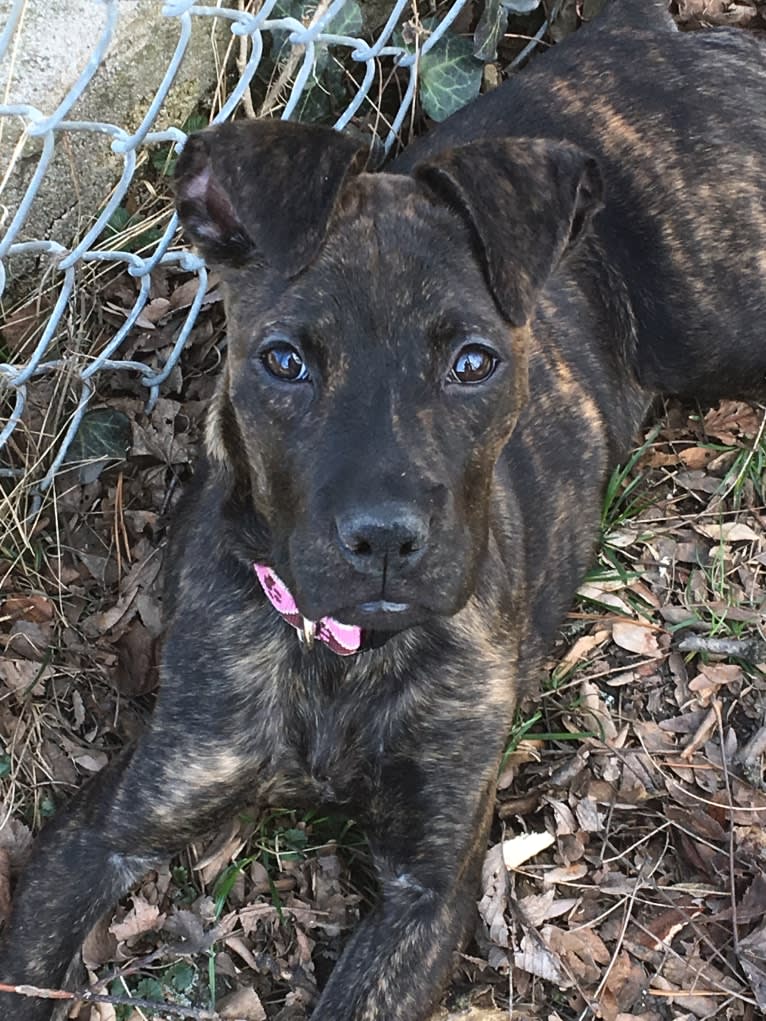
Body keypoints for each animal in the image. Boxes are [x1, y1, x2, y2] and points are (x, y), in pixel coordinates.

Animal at [1, 1, 766, 1021]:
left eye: (475, 361)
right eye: (284, 361)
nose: (385, 540)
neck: (341, 658)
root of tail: (648, 33)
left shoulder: (427, 885)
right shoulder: (114, 821)